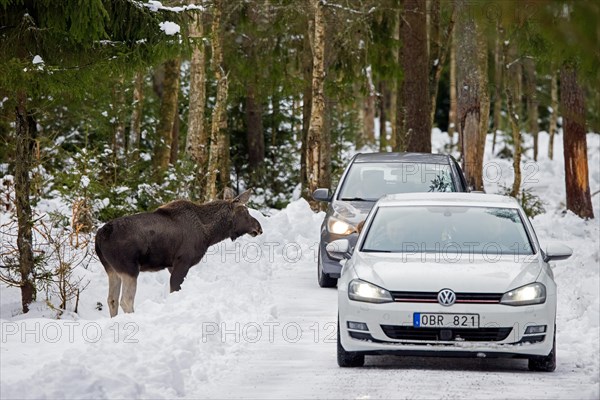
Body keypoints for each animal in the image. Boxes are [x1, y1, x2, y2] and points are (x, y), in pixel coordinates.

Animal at [94, 189, 262, 318]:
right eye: (245, 211)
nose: (259, 227)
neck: (210, 234)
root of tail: (99, 236)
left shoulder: (171, 265)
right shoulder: (183, 261)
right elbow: (174, 289)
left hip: (112, 270)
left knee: (112, 299)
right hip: (129, 268)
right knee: (126, 300)